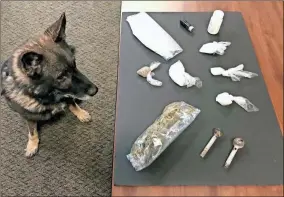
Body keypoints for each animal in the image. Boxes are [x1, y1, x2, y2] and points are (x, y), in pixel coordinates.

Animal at [0, 12, 98, 157]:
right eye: (61, 76)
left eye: (74, 65)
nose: (95, 90)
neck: (48, 96)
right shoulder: (28, 116)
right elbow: (32, 131)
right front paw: (32, 144)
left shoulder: (68, 95)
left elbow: (72, 103)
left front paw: (80, 113)